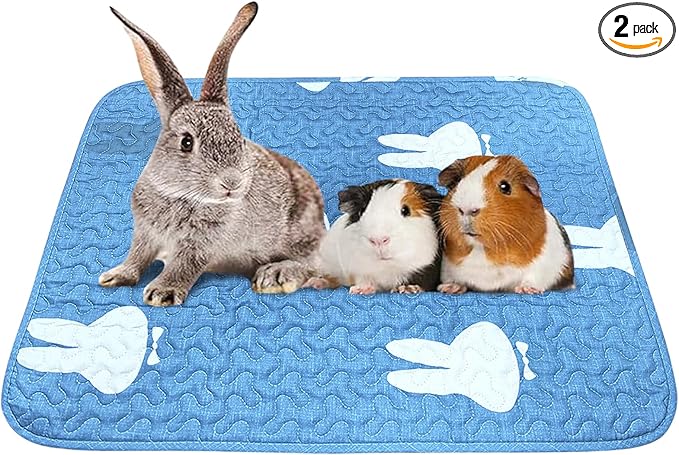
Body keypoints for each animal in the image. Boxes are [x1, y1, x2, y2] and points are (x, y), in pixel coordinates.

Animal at [99, 2, 325, 306]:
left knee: (318, 265)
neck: (181, 194)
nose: (232, 182)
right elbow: (137, 255)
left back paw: (275, 275)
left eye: (237, 136)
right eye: (186, 142)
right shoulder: (145, 232)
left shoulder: (202, 243)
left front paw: (162, 293)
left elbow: (185, 264)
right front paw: (116, 276)